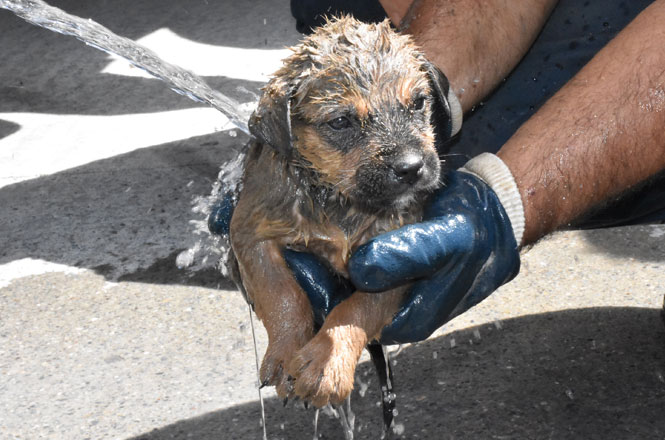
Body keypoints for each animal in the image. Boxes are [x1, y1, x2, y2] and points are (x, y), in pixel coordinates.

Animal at [226, 17, 460, 410]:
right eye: (340, 122)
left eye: (418, 102)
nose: (411, 168)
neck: (340, 201)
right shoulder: (250, 230)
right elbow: (281, 293)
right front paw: (285, 352)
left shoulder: (394, 256)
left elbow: (357, 308)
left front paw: (326, 362)